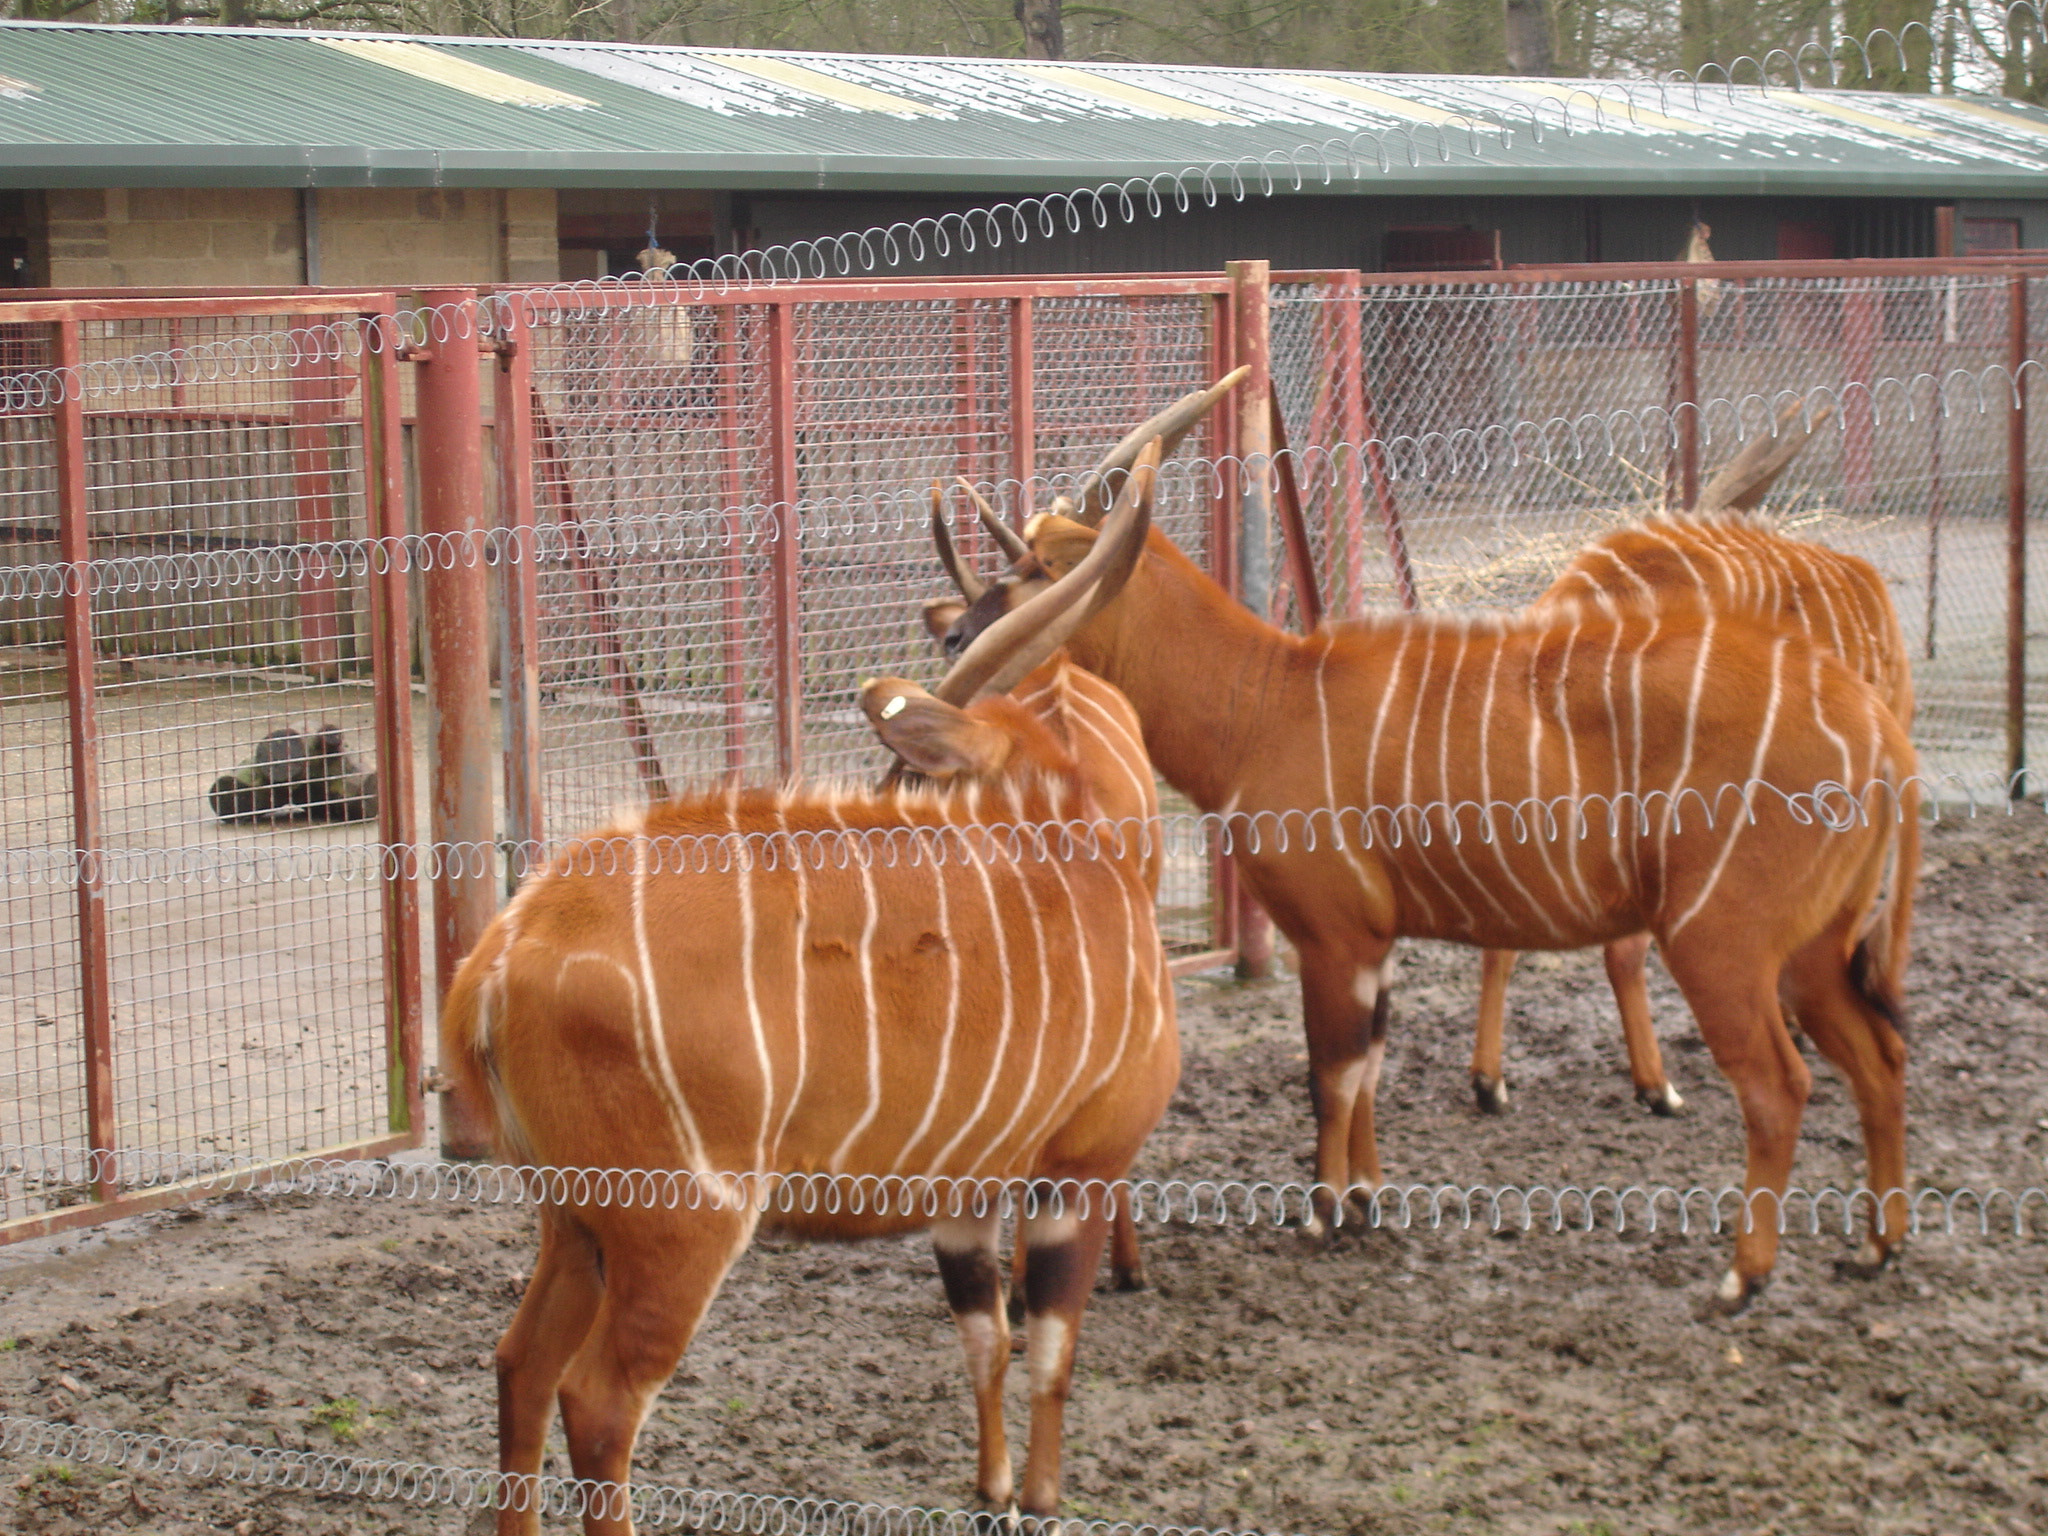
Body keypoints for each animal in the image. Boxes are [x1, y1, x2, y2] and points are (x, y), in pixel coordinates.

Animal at [444, 450, 1187, 1531]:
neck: (1068, 844)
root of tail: (498, 960)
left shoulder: (968, 1183)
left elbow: (986, 1340)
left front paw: (992, 1489)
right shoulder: (1081, 1164)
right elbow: (1048, 1349)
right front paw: (1040, 1497)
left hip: (574, 1222)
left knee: (519, 1366)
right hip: (678, 1224)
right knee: (599, 1398)